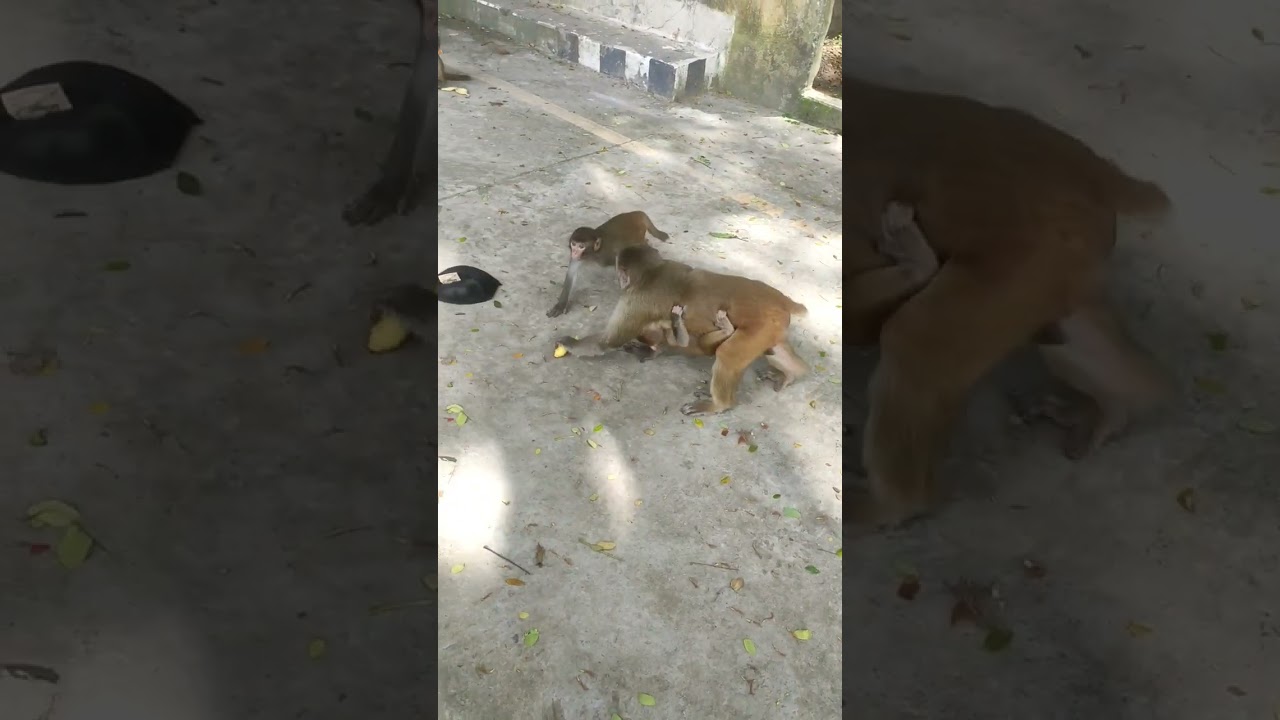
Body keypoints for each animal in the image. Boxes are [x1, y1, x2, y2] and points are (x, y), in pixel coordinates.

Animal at [555, 245, 807, 415]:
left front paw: (567, 342)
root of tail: (782, 301)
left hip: (761, 325)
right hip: (773, 326)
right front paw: (653, 349)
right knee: (774, 349)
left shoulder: (635, 299)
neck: (653, 272)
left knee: (727, 355)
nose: (619, 280)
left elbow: (607, 341)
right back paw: (793, 372)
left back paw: (718, 404)